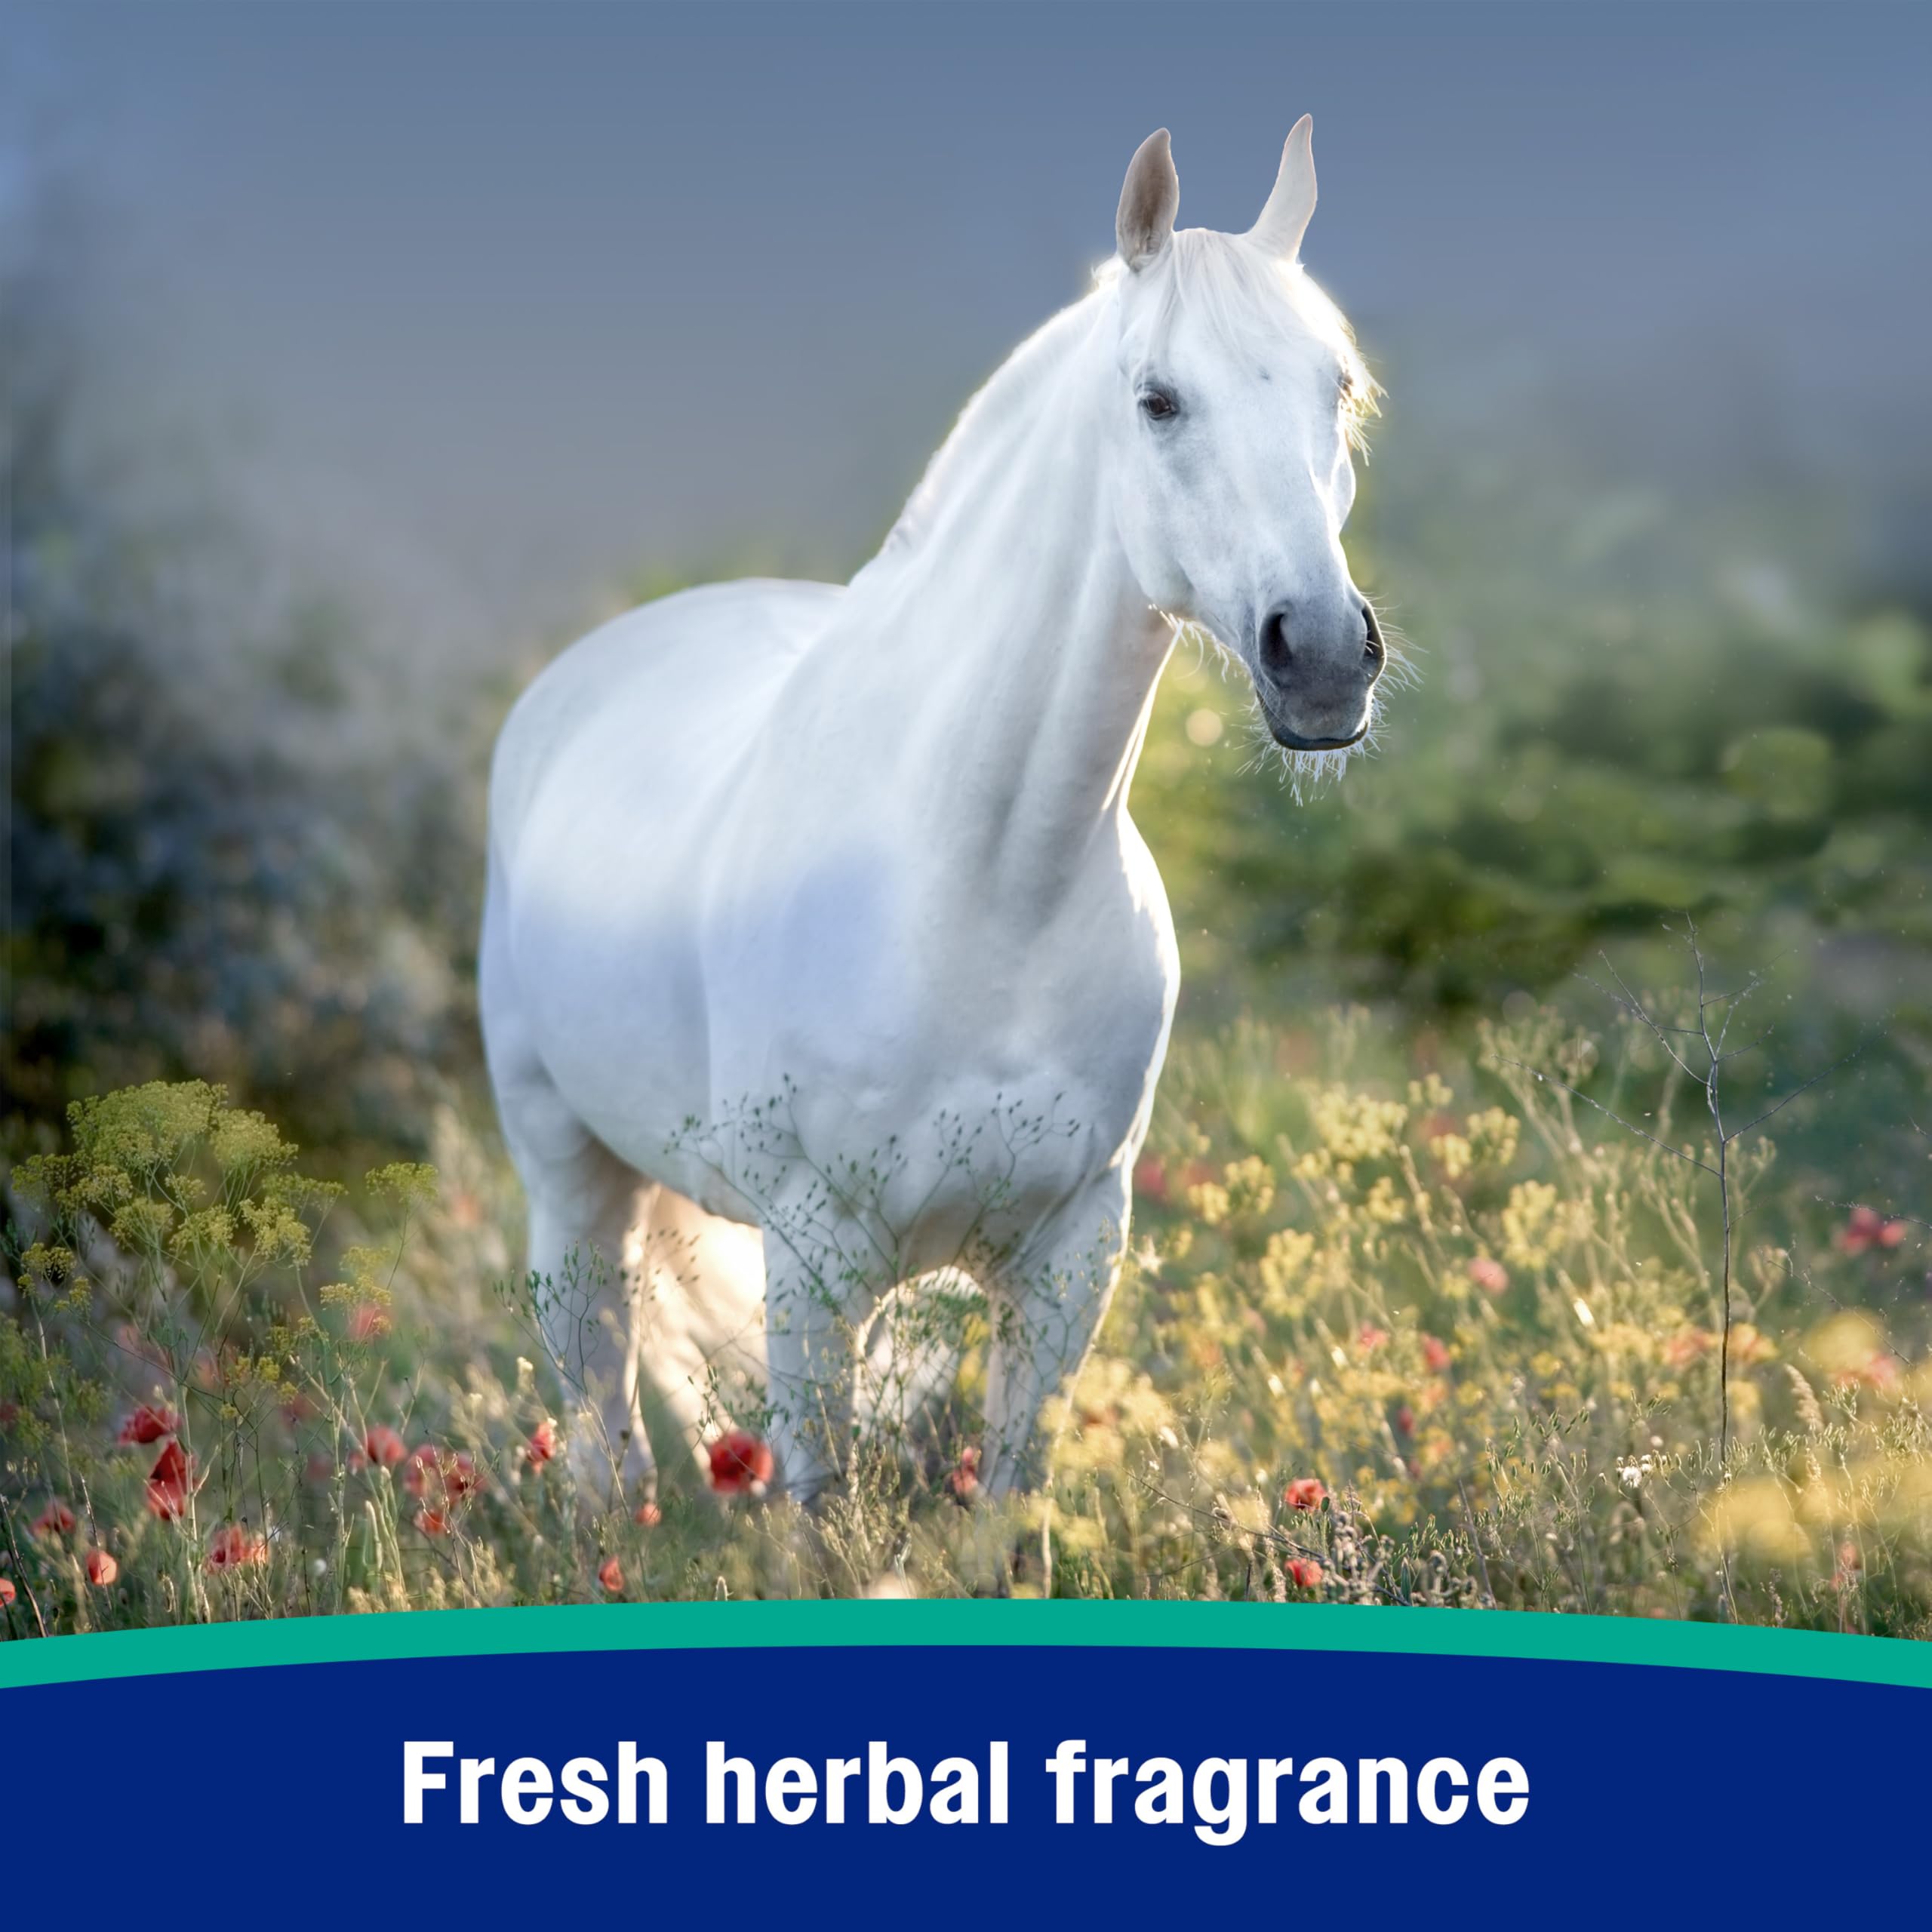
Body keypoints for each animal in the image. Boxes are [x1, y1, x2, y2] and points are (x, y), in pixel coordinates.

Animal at [480, 120, 1389, 1506]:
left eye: (1336, 389)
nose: (1326, 656)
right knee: (601, 1432)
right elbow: (816, 1507)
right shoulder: (813, 1260)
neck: (986, 881)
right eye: (1158, 400)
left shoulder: (1070, 1258)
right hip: (571, 1187)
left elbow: (1008, 1506)